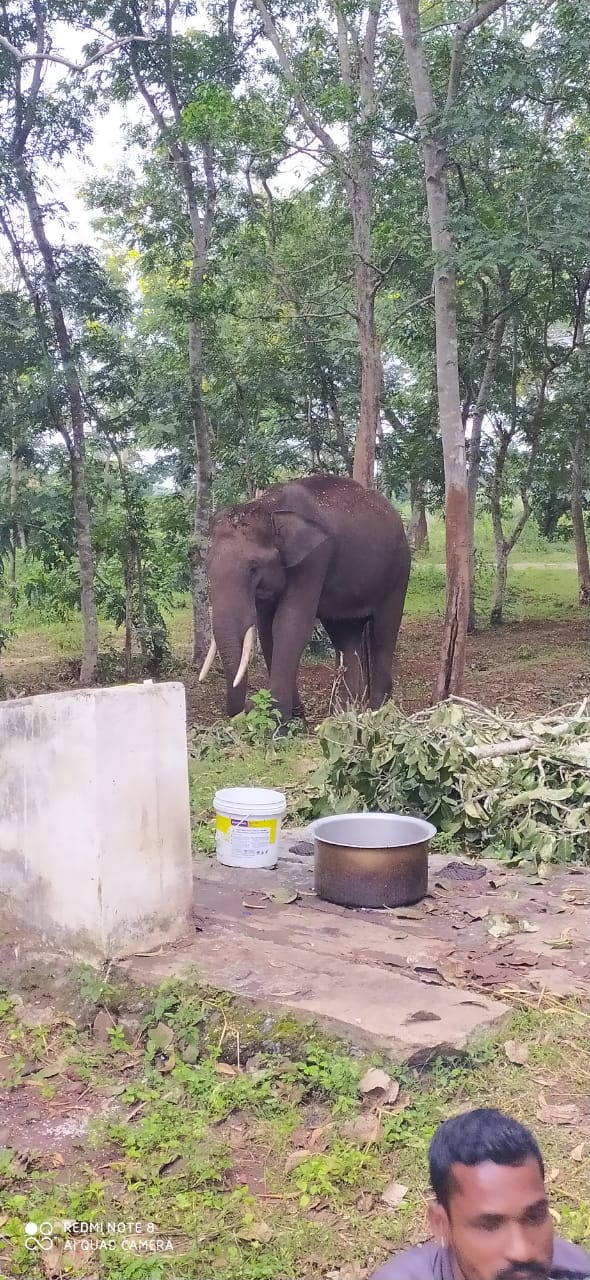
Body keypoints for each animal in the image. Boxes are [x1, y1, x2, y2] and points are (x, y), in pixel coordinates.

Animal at [198, 476, 409, 727]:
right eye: (207, 566)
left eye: (253, 569)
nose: (249, 706)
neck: (269, 507)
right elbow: (268, 631)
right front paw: (295, 721)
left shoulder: (314, 560)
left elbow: (290, 625)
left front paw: (279, 725)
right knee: (345, 636)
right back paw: (344, 714)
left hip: (398, 572)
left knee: (383, 633)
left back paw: (377, 713)